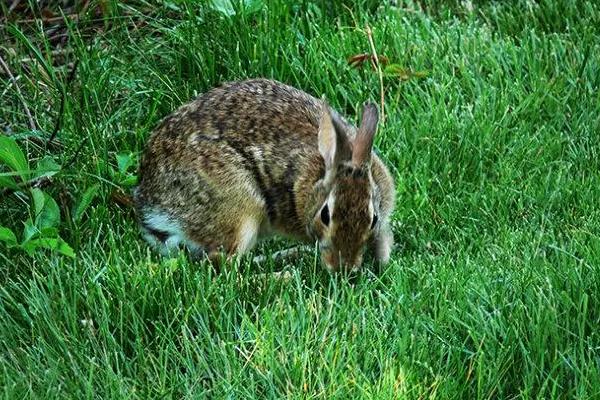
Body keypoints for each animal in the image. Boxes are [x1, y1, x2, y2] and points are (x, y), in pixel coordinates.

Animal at [137, 78, 398, 272]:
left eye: (373, 219)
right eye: (325, 215)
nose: (343, 268)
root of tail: (151, 207)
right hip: (239, 209)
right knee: (227, 266)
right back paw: (283, 271)